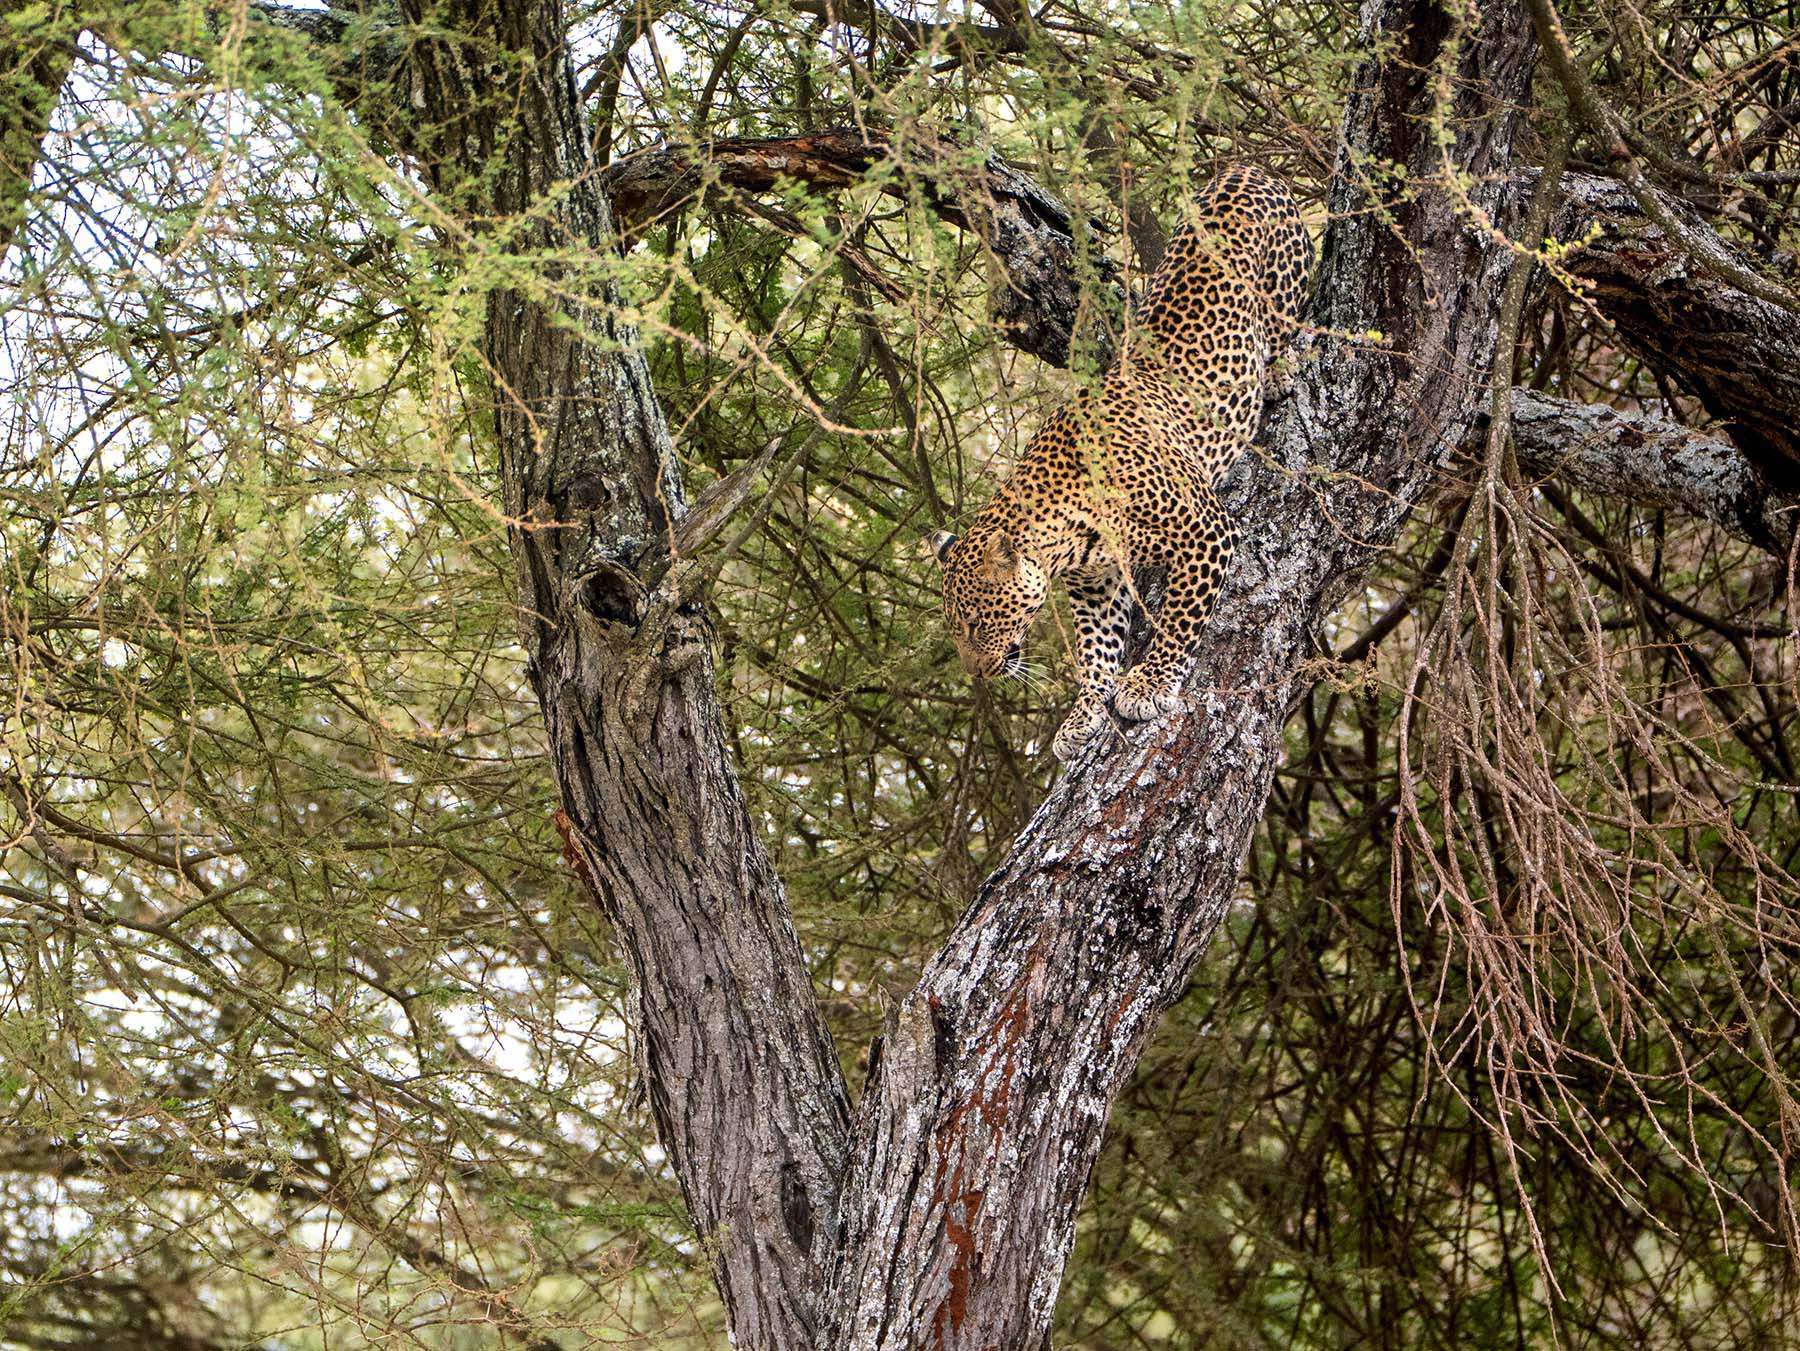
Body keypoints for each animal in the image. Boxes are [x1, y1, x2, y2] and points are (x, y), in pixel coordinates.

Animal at [928, 163, 1311, 760]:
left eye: (973, 623)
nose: (977, 675)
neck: (1063, 532)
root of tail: (1242, 170)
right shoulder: (1097, 582)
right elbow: (1096, 650)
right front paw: (1084, 713)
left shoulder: (1207, 531)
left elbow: (1179, 619)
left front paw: (1147, 685)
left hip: (1282, 288)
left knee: (1287, 328)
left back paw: (1280, 372)